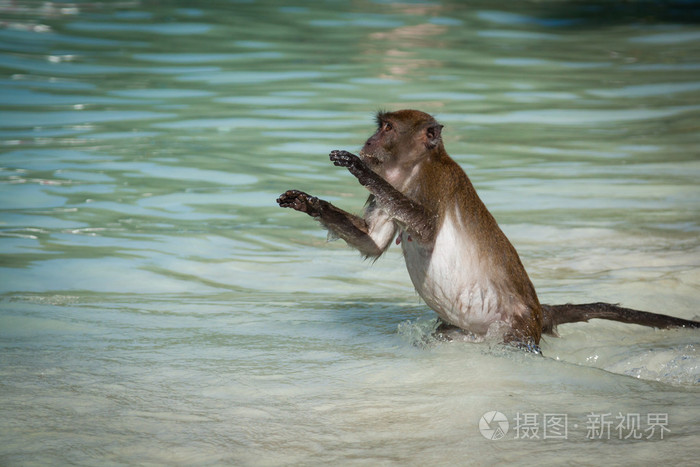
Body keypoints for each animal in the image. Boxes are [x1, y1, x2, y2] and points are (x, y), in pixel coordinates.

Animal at [276, 109, 696, 352]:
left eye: (387, 128)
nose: (368, 142)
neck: (414, 168)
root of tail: (538, 311)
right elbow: (373, 242)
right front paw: (307, 201)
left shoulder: (433, 181)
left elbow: (424, 227)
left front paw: (357, 168)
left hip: (517, 330)